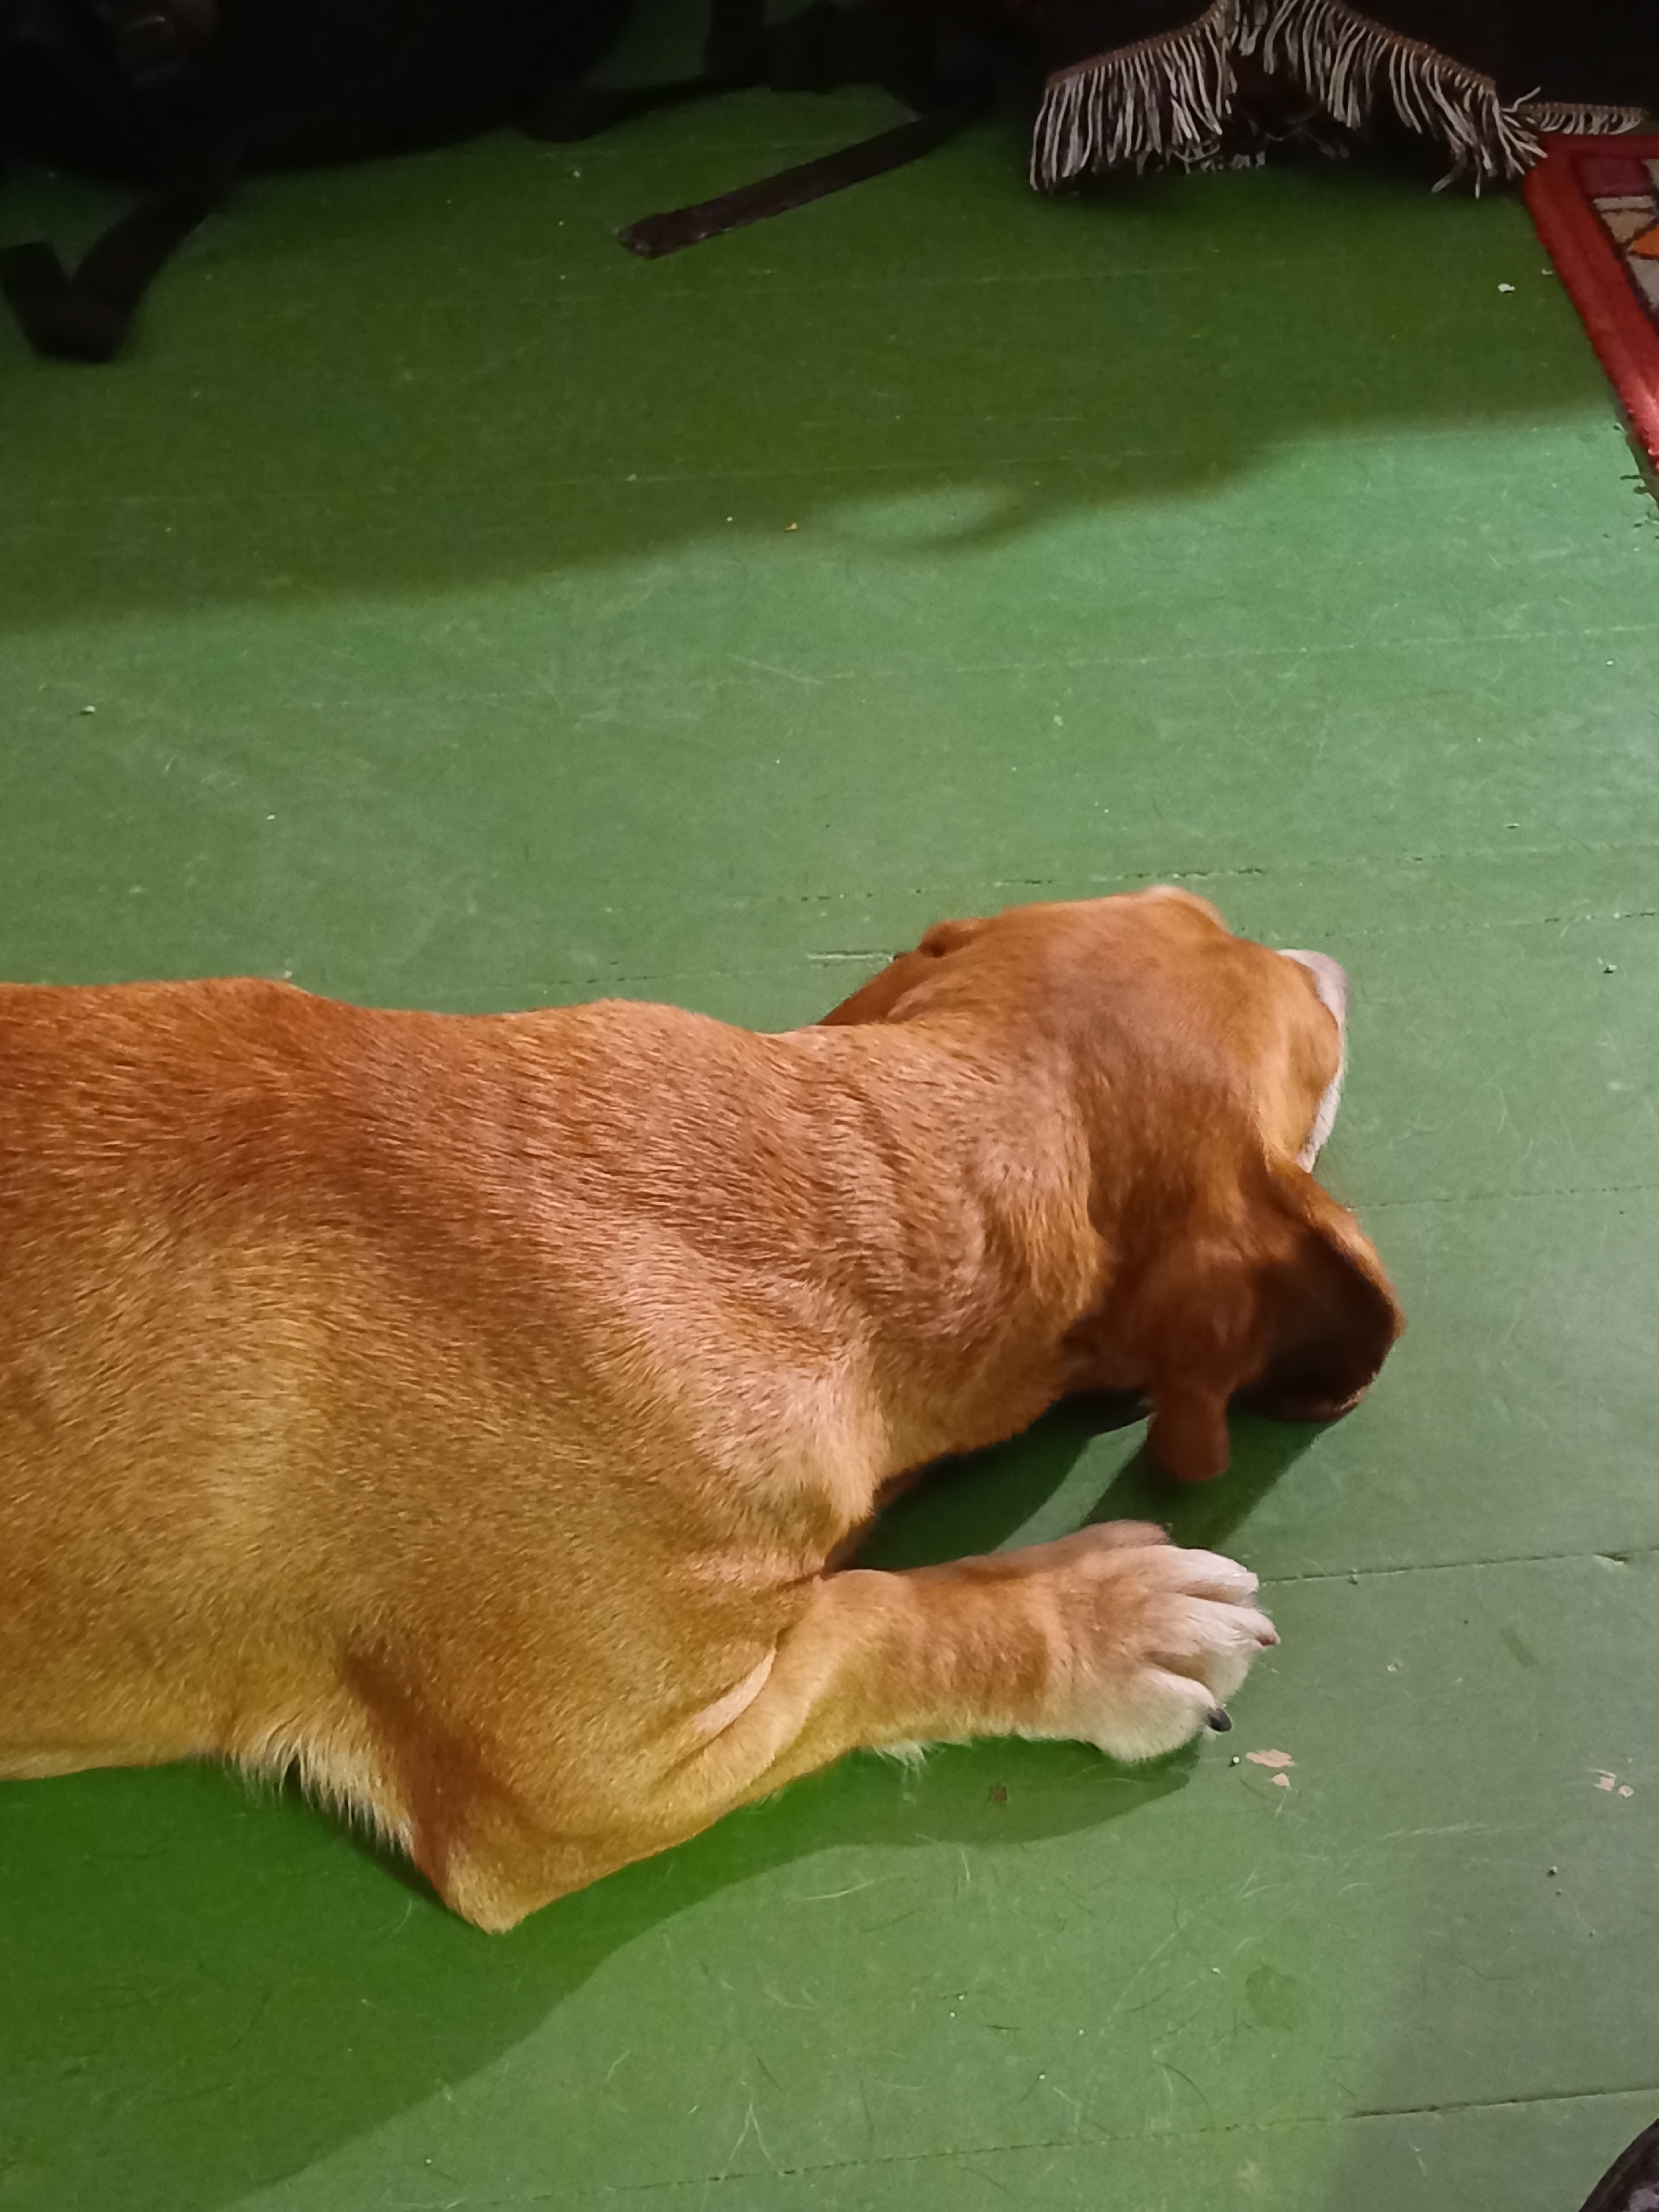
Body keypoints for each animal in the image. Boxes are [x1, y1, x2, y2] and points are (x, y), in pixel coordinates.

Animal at [0, 888, 1401, 1928]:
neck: (851, 1171)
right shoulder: (606, 1777)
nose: (1334, 955)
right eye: (1318, 1048)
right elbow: (882, 1628)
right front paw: (1104, 1621)